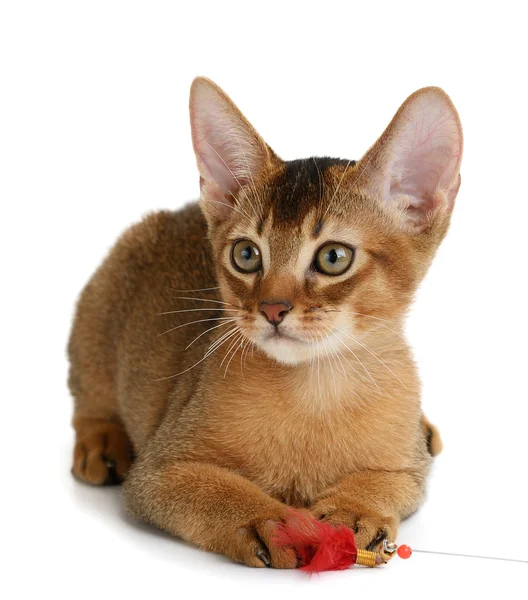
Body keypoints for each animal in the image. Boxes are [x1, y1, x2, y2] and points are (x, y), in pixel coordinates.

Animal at [68, 76, 460, 568]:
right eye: (246, 254)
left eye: (334, 257)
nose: (272, 309)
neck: (313, 391)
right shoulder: (159, 470)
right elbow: (214, 490)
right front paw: (271, 521)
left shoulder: (406, 470)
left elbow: (389, 482)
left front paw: (353, 510)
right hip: (99, 307)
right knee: (90, 397)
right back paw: (101, 441)